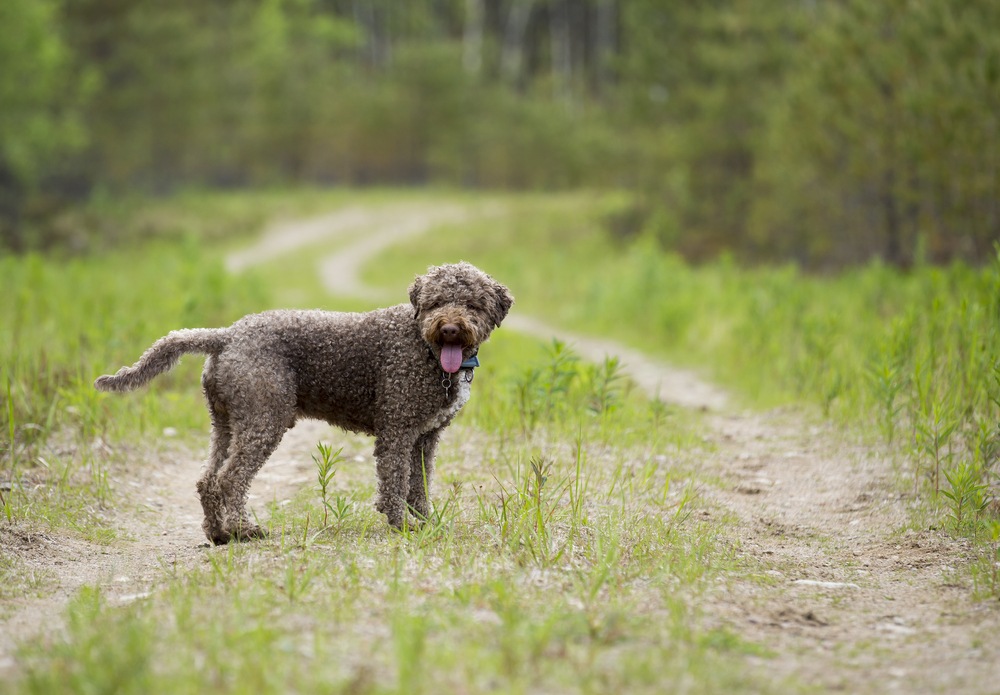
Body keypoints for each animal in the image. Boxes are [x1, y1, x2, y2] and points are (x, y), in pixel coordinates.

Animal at [94, 260, 512, 544]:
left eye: (473, 304)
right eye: (436, 301)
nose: (451, 328)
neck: (425, 347)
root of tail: (227, 335)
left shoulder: (425, 437)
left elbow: (419, 484)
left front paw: (425, 521)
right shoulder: (397, 431)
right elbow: (395, 481)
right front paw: (402, 524)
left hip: (226, 423)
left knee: (207, 479)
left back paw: (218, 534)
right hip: (264, 419)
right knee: (231, 479)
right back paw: (244, 529)